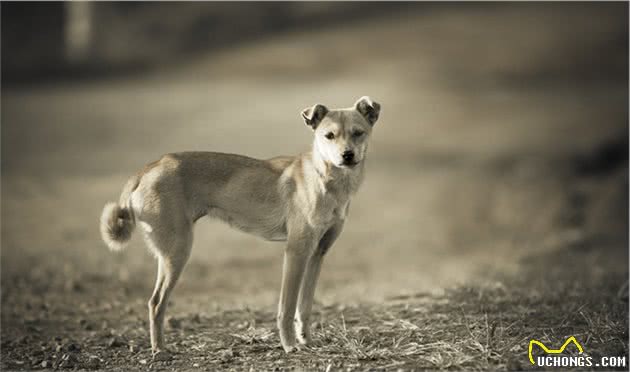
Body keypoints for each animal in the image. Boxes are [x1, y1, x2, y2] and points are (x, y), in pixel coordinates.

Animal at [101, 95, 382, 354]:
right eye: (329, 135)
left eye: (358, 133)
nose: (347, 155)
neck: (325, 178)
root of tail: (150, 167)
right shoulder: (296, 252)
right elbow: (287, 307)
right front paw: (289, 345)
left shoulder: (317, 253)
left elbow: (305, 307)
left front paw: (307, 341)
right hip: (177, 251)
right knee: (157, 303)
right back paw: (159, 350)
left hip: (171, 254)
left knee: (154, 303)